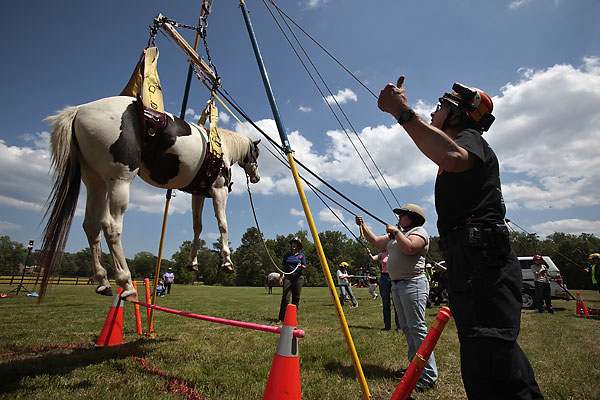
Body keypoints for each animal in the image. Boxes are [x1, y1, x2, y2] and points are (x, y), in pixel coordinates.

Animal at [39, 95, 260, 298]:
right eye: (256, 155)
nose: (257, 177)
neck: (222, 149)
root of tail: (78, 111)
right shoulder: (218, 190)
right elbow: (222, 223)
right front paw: (227, 262)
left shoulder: (198, 194)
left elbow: (197, 226)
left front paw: (192, 262)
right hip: (120, 180)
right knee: (110, 226)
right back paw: (126, 283)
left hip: (95, 182)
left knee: (91, 226)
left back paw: (103, 282)